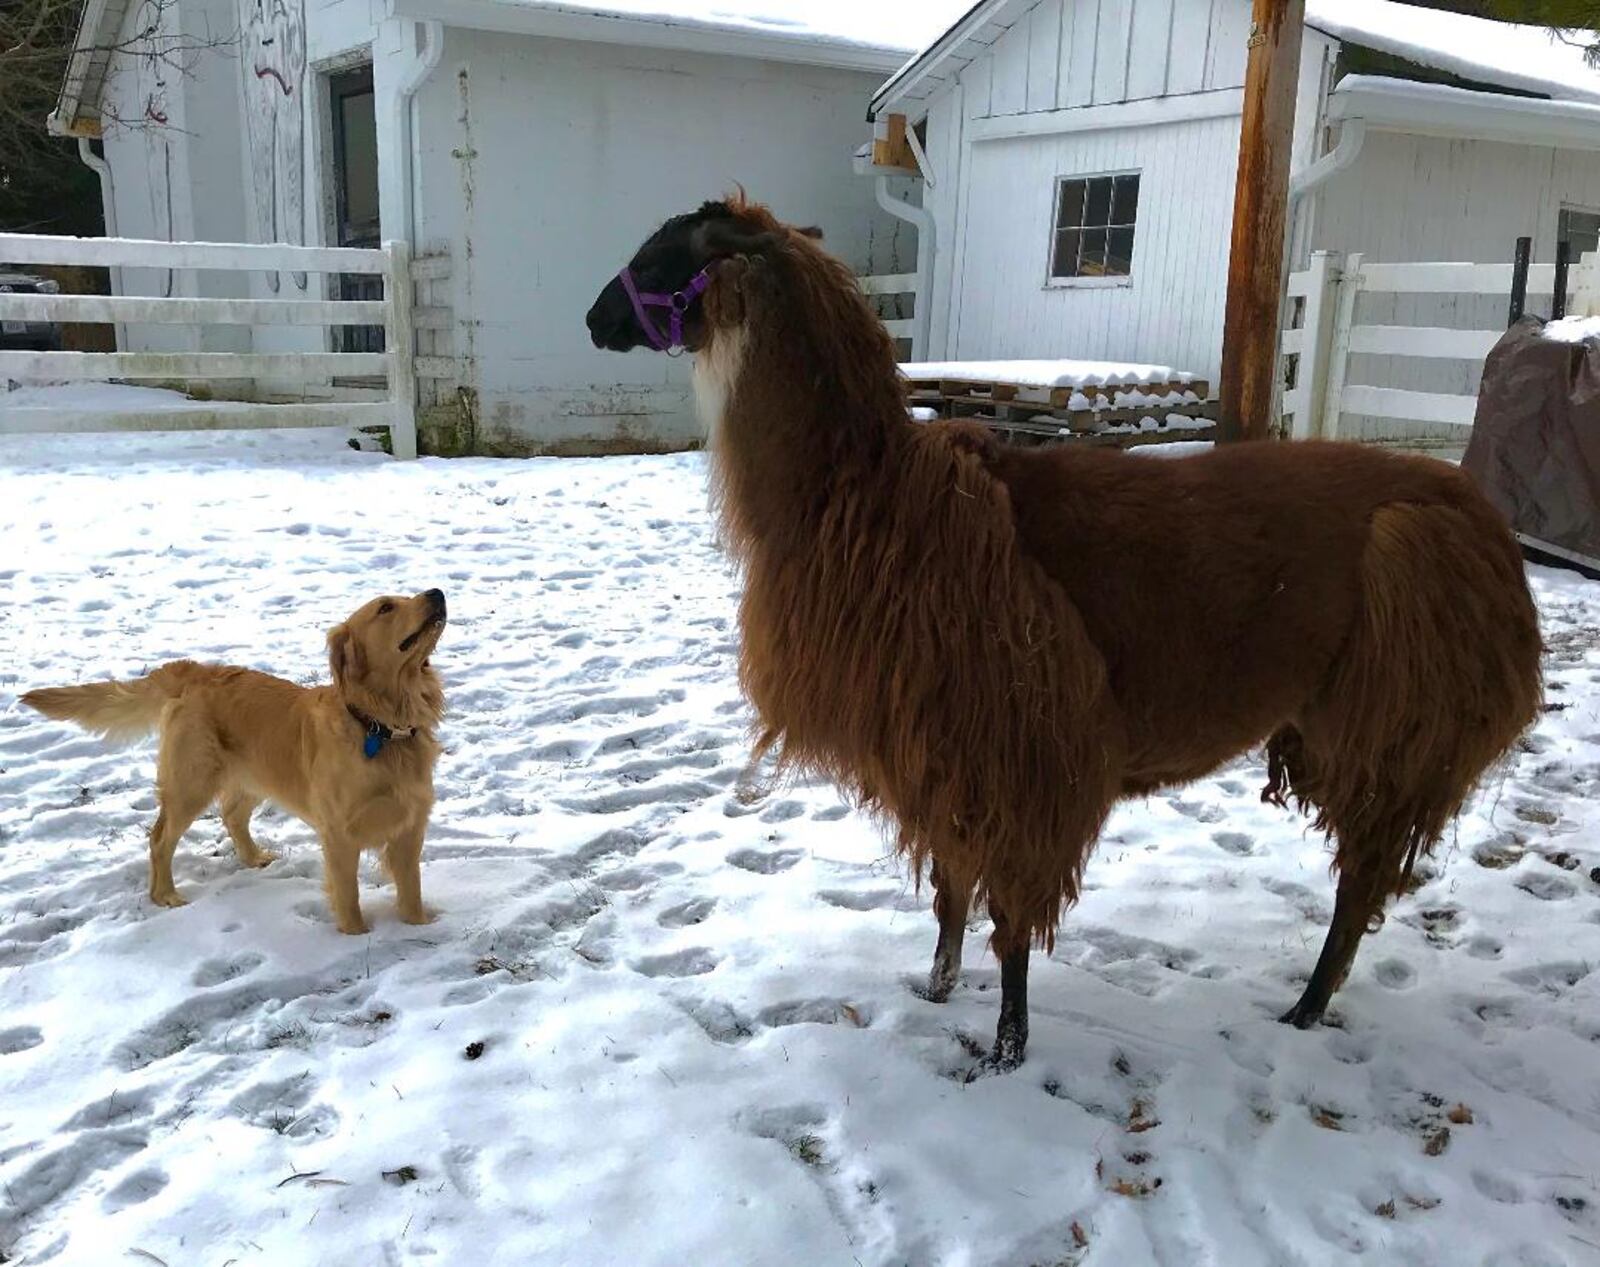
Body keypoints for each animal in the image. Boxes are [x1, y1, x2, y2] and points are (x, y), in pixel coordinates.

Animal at [23, 591, 451, 927]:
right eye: (385, 607)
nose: (437, 592)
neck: (382, 725)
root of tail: (195, 670)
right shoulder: (340, 835)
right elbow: (348, 898)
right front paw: (355, 937)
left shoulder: (410, 827)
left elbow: (410, 889)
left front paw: (418, 926)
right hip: (191, 782)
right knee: (160, 837)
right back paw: (165, 895)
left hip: (253, 773)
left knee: (231, 815)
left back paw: (253, 857)